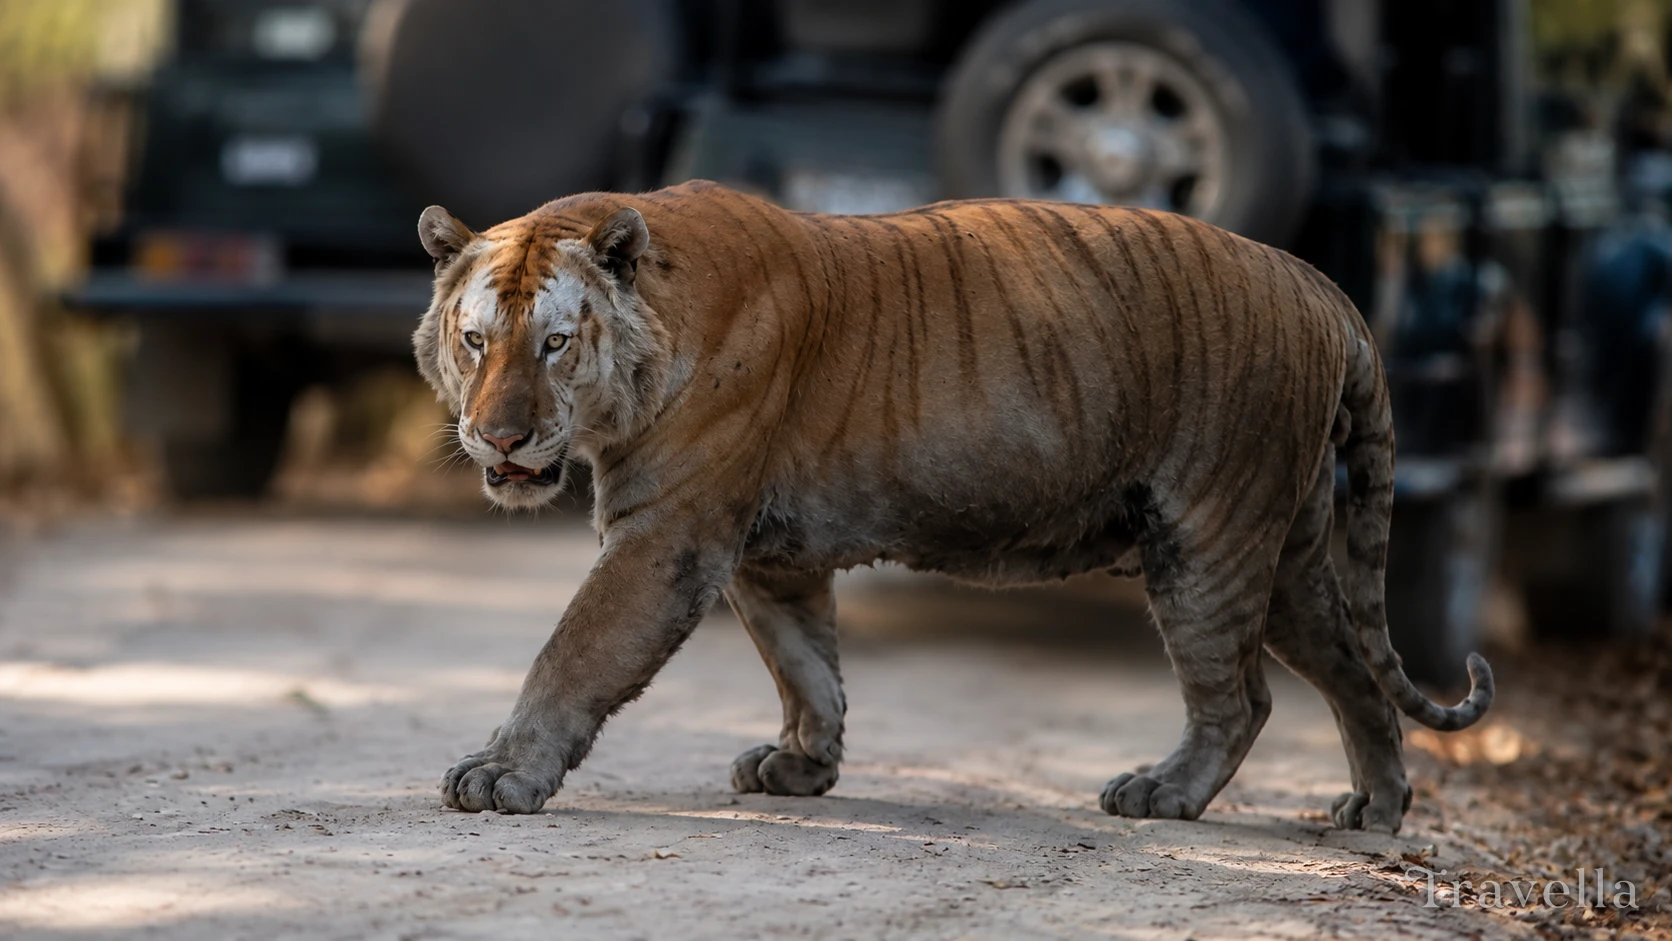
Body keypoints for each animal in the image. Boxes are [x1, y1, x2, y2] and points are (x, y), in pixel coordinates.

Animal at [413, 179, 1492, 833]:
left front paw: (500, 774)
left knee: (1243, 698)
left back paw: (1160, 792)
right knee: (1354, 673)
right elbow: (807, 666)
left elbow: (574, 651)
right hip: (1289, 553)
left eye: (554, 343)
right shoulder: (770, 556)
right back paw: (1375, 809)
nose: (498, 436)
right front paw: (802, 765)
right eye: (475, 340)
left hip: (1208, 537)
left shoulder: (666, 536)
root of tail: (1319, 284)